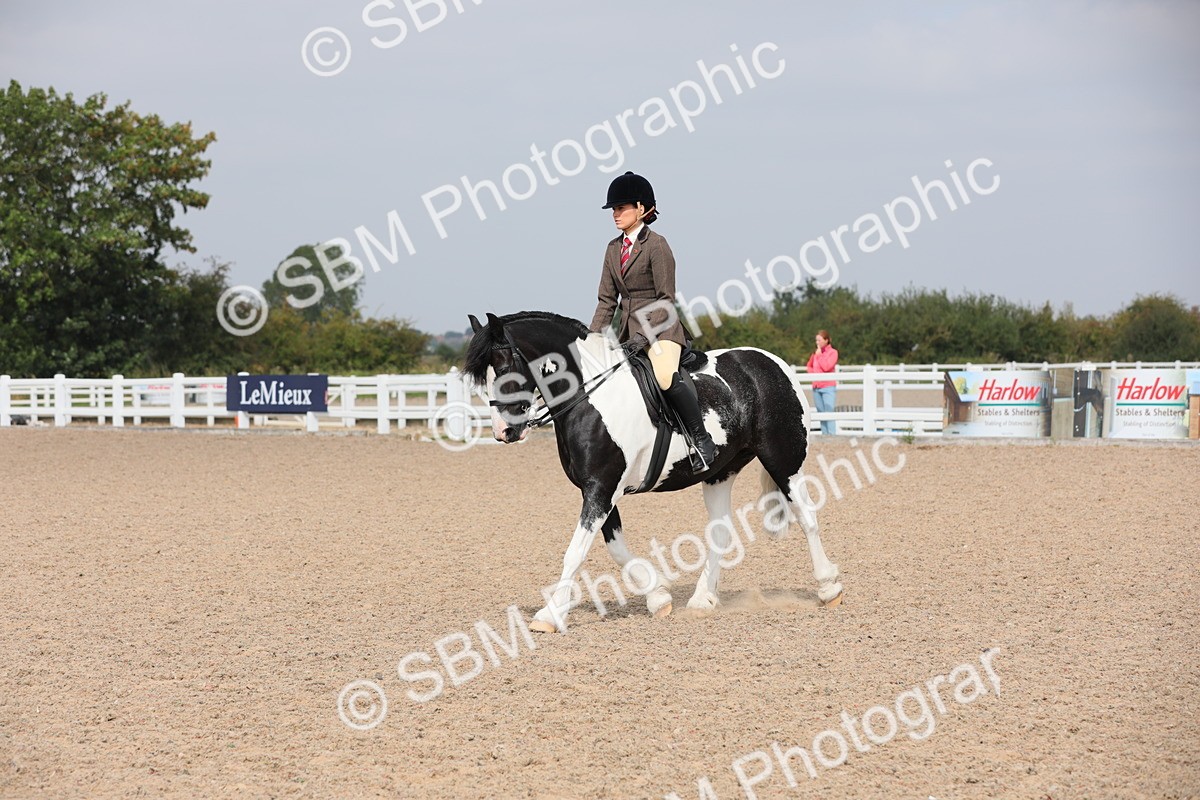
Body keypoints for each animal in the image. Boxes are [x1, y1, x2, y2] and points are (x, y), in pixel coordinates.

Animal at [463, 311, 843, 632]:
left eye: (507, 370)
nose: (503, 431)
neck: (591, 397)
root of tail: (773, 363)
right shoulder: (600, 490)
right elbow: (616, 549)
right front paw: (658, 596)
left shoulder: (600, 488)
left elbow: (575, 552)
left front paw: (550, 615)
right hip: (720, 473)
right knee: (720, 531)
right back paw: (702, 599)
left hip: (784, 461)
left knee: (807, 516)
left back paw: (828, 587)